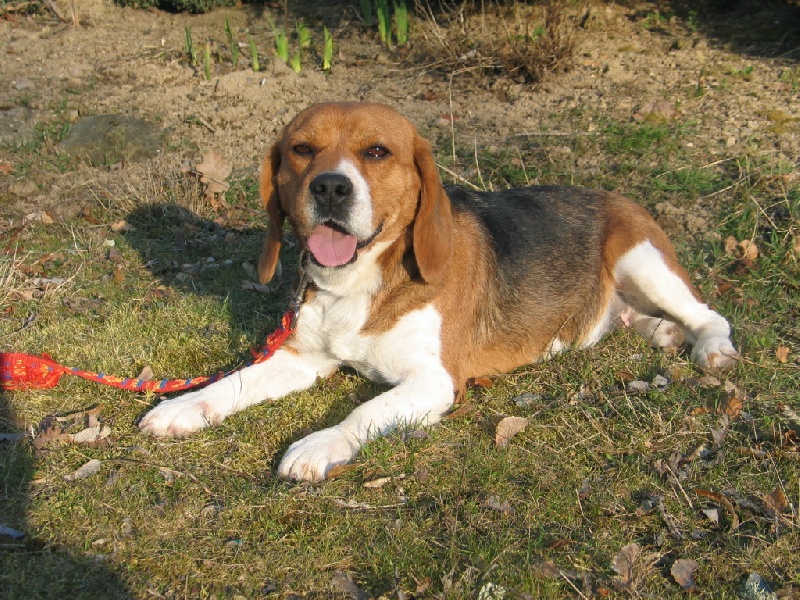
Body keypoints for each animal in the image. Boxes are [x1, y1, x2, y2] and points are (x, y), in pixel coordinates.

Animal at [139, 102, 738, 481]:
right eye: (302, 150)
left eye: (377, 152)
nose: (330, 187)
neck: (359, 283)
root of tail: (620, 197)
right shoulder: (302, 357)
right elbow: (234, 383)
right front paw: (184, 406)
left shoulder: (434, 380)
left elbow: (363, 412)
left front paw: (318, 444)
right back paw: (659, 332)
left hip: (641, 258)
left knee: (710, 314)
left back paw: (710, 348)